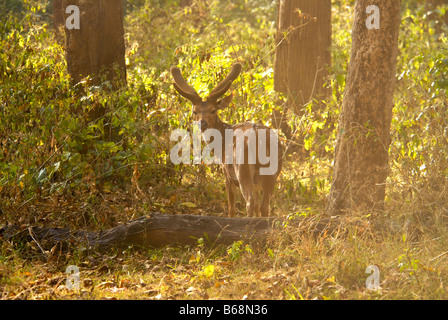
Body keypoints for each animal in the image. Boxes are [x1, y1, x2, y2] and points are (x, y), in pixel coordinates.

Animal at [170, 63, 282, 218]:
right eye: (194, 111)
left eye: (213, 110)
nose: (202, 123)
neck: (220, 146)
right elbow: (258, 207)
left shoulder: (227, 175)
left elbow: (231, 207)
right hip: (271, 175)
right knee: (264, 206)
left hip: (241, 170)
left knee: (249, 202)